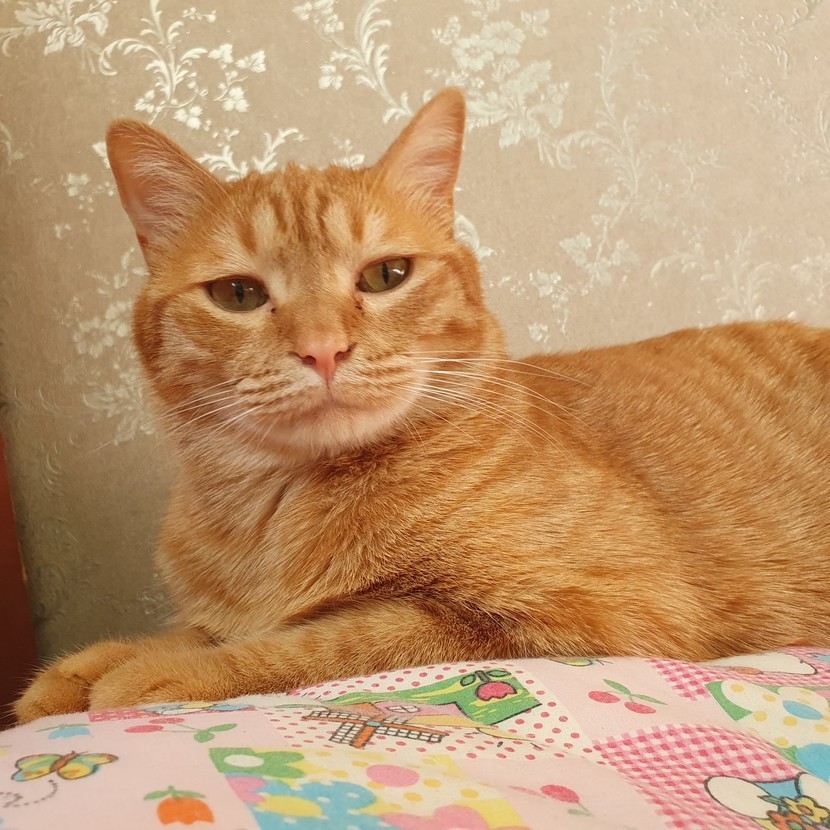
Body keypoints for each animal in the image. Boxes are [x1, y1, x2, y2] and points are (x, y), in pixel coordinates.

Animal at [15, 88, 830, 723]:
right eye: (239, 294)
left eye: (387, 275)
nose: (323, 350)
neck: (270, 514)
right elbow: (202, 628)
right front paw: (83, 669)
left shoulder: (601, 614)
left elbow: (327, 637)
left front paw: (163, 673)